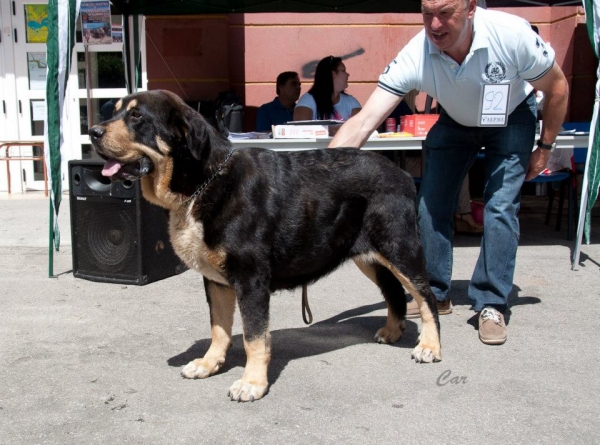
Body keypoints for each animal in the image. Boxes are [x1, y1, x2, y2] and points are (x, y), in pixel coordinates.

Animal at [90, 88, 446, 400]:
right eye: (114, 110)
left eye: (136, 116)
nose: (92, 131)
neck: (203, 183)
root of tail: (401, 174)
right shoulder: (215, 281)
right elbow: (219, 328)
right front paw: (209, 363)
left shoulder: (251, 279)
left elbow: (253, 337)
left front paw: (252, 383)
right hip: (368, 257)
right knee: (394, 292)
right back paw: (393, 330)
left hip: (400, 249)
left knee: (425, 296)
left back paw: (430, 346)